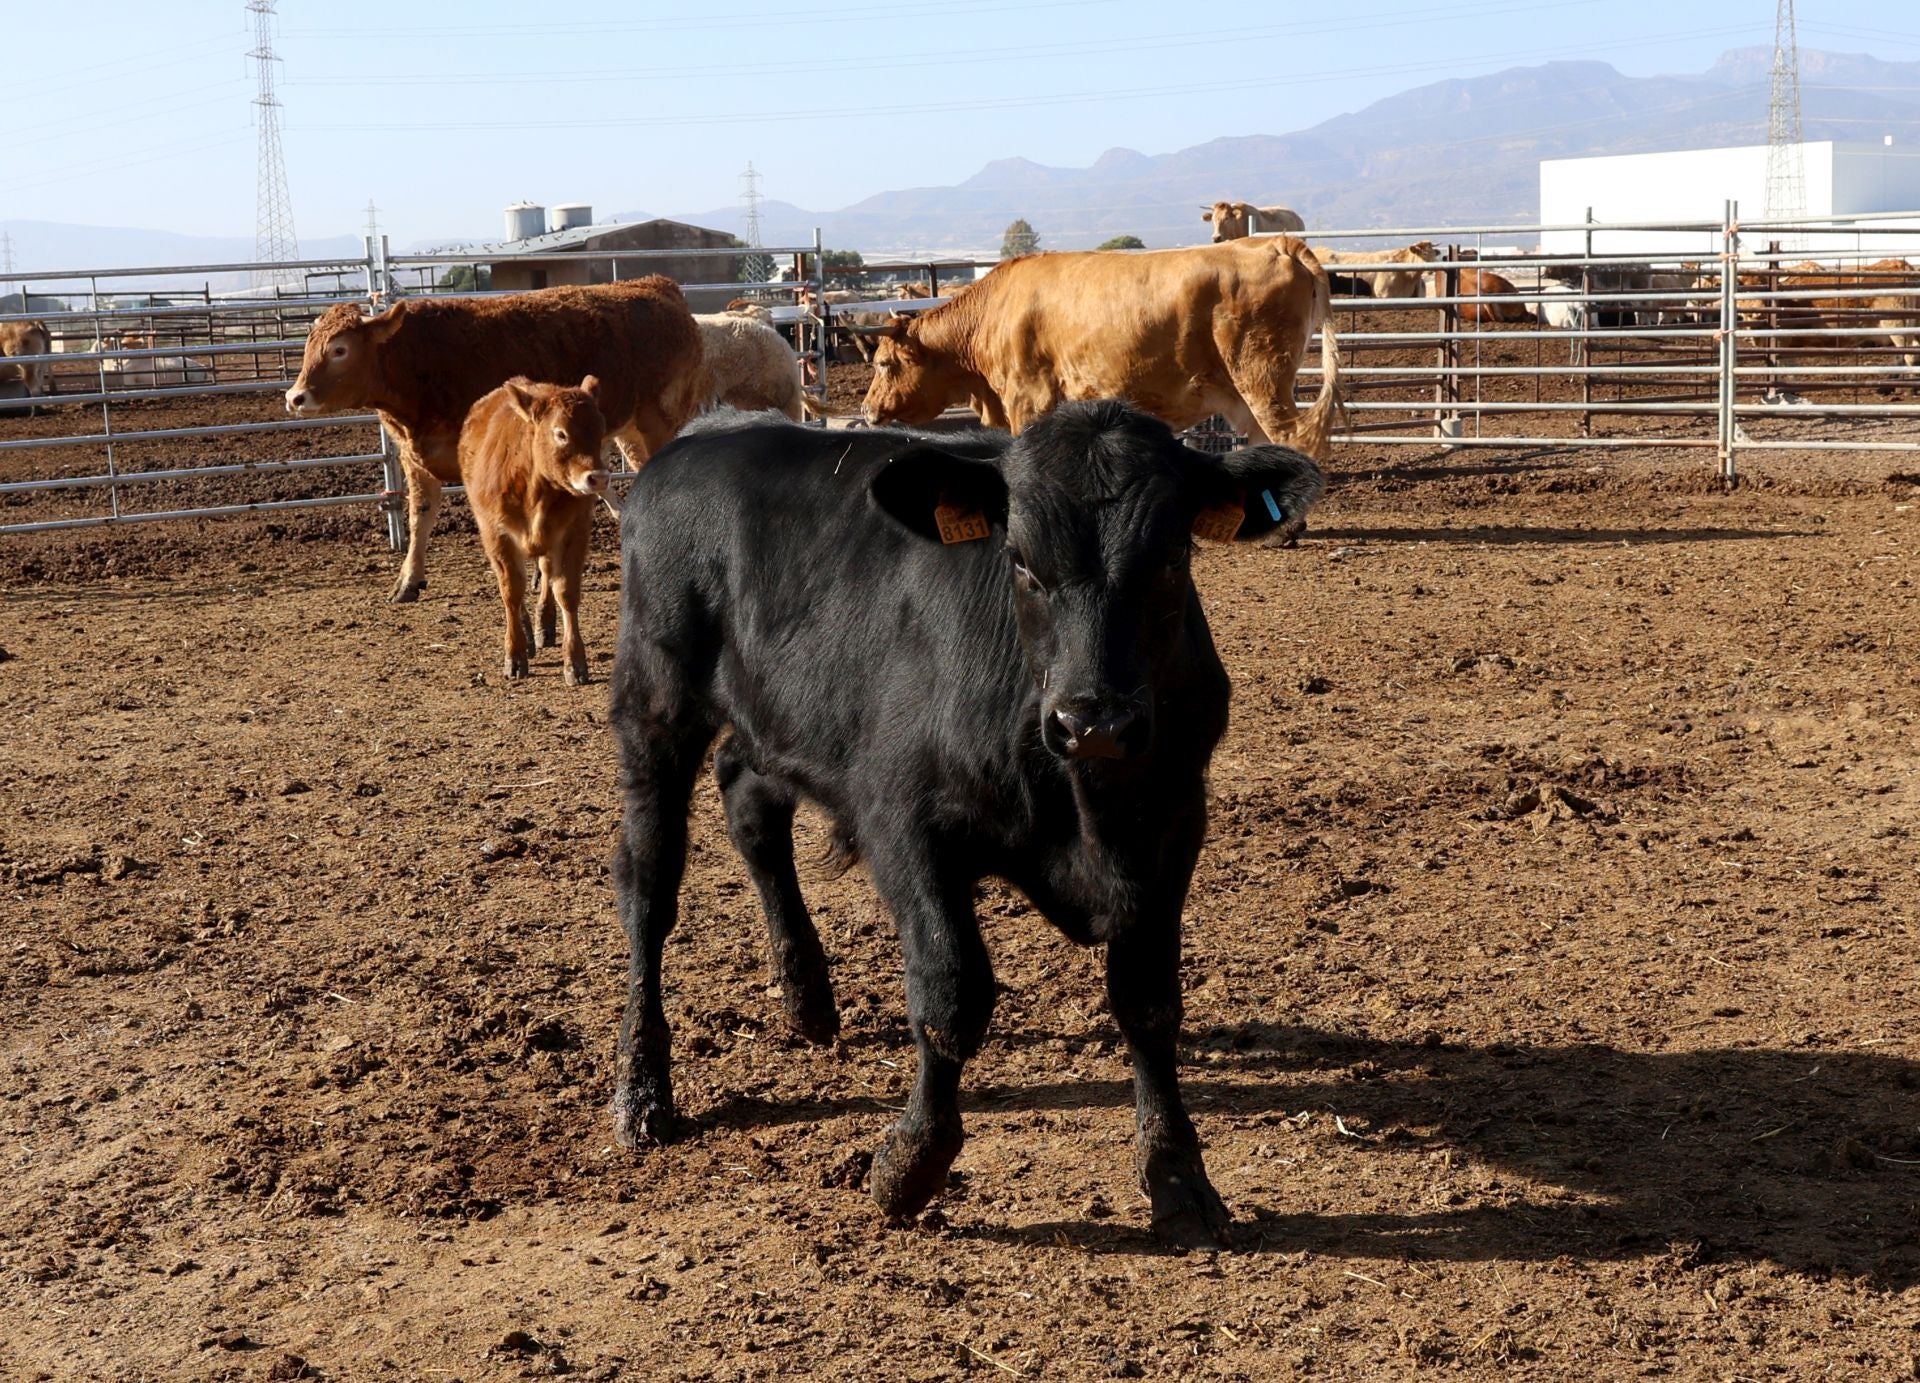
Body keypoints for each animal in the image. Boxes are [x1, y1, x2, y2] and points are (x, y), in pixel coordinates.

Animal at [456, 374, 606, 687]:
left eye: (601, 429)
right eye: (561, 433)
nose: (599, 478)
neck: (536, 489)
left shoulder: (574, 530)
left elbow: (566, 592)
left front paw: (575, 662)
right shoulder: (496, 534)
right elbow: (511, 591)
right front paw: (515, 655)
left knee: (546, 572)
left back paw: (544, 626)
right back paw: (527, 633)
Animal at [606, 397, 1328, 1244]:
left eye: (1172, 557)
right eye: (1019, 560)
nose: (1094, 723)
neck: (1089, 810)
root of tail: (708, 431)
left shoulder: (1174, 823)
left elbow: (1148, 1000)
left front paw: (1177, 1174)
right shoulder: (903, 821)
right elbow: (953, 992)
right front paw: (909, 1164)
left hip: (778, 718)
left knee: (750, 803)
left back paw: (807, 996)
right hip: (654, 703)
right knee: (650, 884)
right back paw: (644, 1089)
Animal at [864, 235, 1344, 457]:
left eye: (884, 363)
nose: (867, 410)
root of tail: (1277, 242)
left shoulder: (1027, 398)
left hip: (1260, 376)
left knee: (1291, 435)